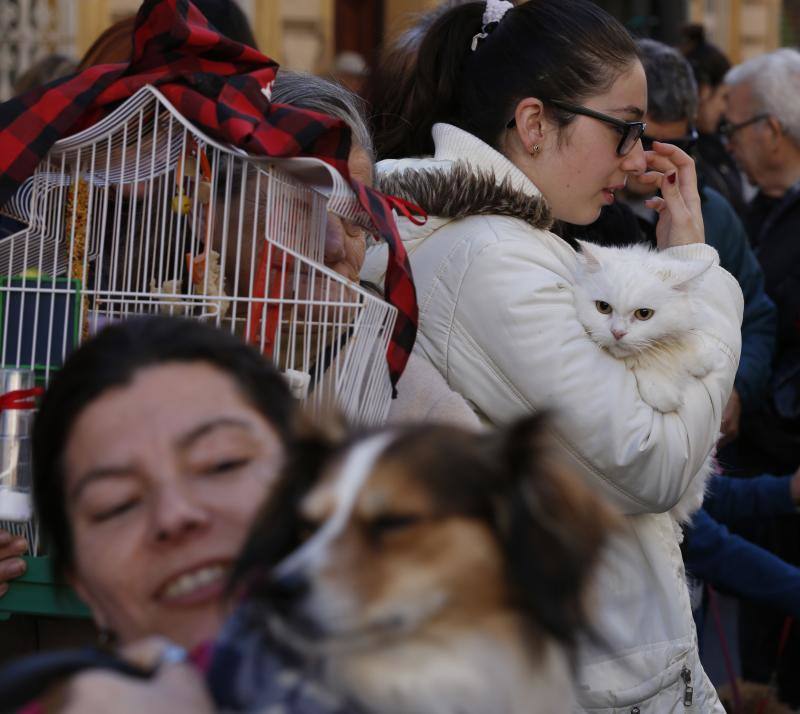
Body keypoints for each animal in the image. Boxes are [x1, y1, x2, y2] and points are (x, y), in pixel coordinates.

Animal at [576, 241, 720, 528]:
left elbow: (683, 343)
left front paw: (701, 358)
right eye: (603, 308)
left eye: (644, 314)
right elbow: (642, 364)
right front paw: (664, 393)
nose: (618, 333)